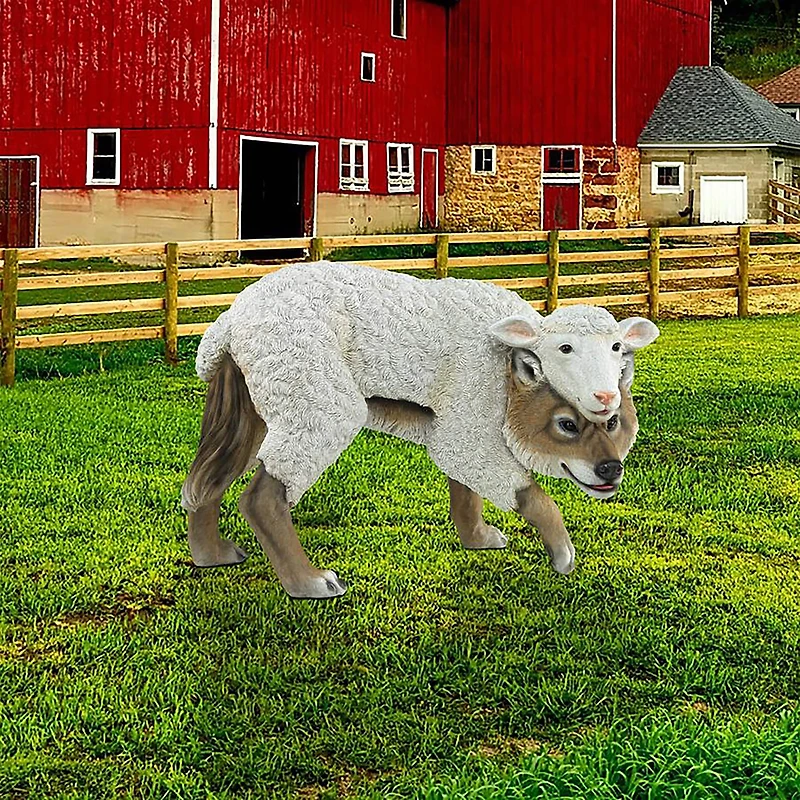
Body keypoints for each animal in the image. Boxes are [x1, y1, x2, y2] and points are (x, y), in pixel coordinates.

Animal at [183, 261, 658, 598]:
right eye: (567, 425)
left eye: (617, 347)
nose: (610, 470)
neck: (507, 358)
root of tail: (229, 319)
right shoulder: (472, 398)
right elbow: (529, 493)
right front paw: (562, 553)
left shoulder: (463, 418)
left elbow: (464, 488)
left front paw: (477, 538)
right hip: (312, 388)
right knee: (263, 495)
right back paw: (308, 582)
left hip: (256, 403)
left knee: (209, 477)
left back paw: (211, 555)